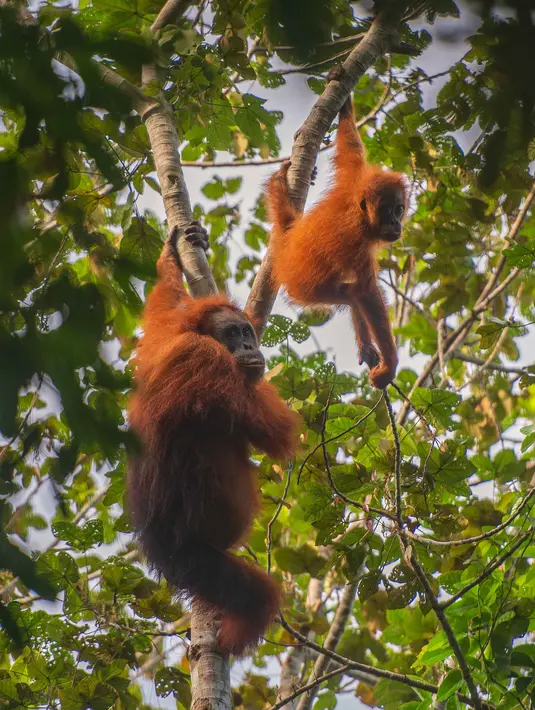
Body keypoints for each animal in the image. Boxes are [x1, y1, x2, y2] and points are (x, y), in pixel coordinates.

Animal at [127, 222, 300, 656]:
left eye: (246, 331)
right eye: (234, 334)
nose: (250, 344)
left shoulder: (166, 336)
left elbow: (160, 308)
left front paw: (175, 249)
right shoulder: (210, 363)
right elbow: (275, 429)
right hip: (193, 559)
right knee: (256, 594)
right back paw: (232, 638)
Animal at [265, 94, 408, 389]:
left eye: (398, 209)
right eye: (386, 211)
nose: (395, 223)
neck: (359, 213)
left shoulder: (354, 179)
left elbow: (350, 148)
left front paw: (346, 107)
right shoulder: (355, 242)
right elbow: (367, 292)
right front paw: (390, 367)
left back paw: (366, 346)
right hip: (306, 289)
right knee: (354, 293)